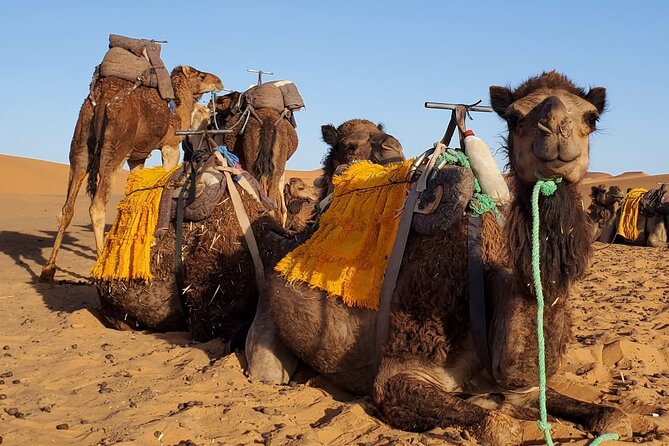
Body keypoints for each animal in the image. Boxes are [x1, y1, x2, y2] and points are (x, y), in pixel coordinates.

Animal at [40, 66, 223, 282]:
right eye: (201, 75)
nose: (219, 81)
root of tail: (101, 97)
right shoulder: (170, 145)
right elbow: (166, 177)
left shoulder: (137, 158)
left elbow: (135, 194)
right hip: (115, 148)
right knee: (97, 207)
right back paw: (101, 267)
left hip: (81, 145)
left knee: (67, 207)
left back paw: (48, 269)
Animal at [254, 72, 634, 445]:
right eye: (514, 116)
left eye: (591, 117)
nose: (555, 130)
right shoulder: (401, 370)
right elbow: (500, 427)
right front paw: (499, 410)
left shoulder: (527, 387)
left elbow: (614, 416)